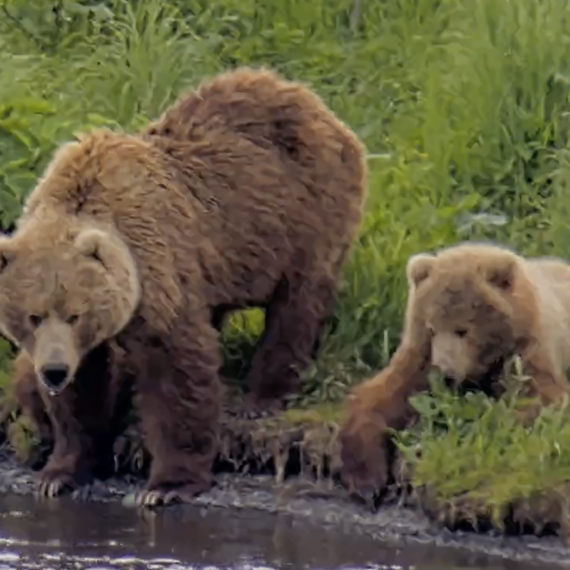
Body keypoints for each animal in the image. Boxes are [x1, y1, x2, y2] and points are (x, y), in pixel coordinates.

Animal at [0, 67, 366, 506]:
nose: (54, 371)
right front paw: (60, 472)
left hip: (305, 213)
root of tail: (314, 101)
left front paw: (167, 484)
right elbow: (81, 392)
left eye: (75, 314)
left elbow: (175, 369)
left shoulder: (156, 265)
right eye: (33, 316)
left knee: (297, 304)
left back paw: (263, 395)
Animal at [336, 242, 568, 500]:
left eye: (462, 330)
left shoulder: (527, 352)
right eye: (431, 328)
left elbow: (540, 399)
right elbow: (382, 397)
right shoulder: (421, 359)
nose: (445, 374)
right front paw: (365, 477)